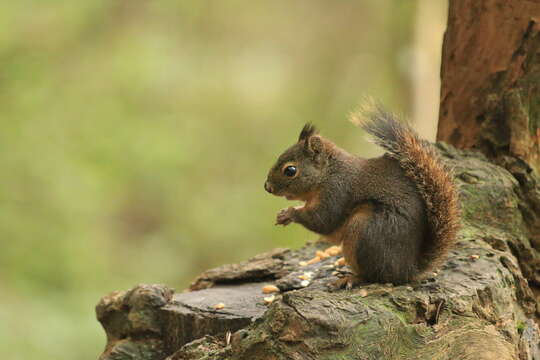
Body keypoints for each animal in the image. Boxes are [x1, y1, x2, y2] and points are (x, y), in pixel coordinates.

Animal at [264, 103, 458, 284]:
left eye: (290, 170)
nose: (267, 187)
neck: (328, 173)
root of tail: (407, 270)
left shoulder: (337, 191)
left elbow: (322, 221)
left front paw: (290, 213)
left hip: (364, 228)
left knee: (373, 276)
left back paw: (351, 278)